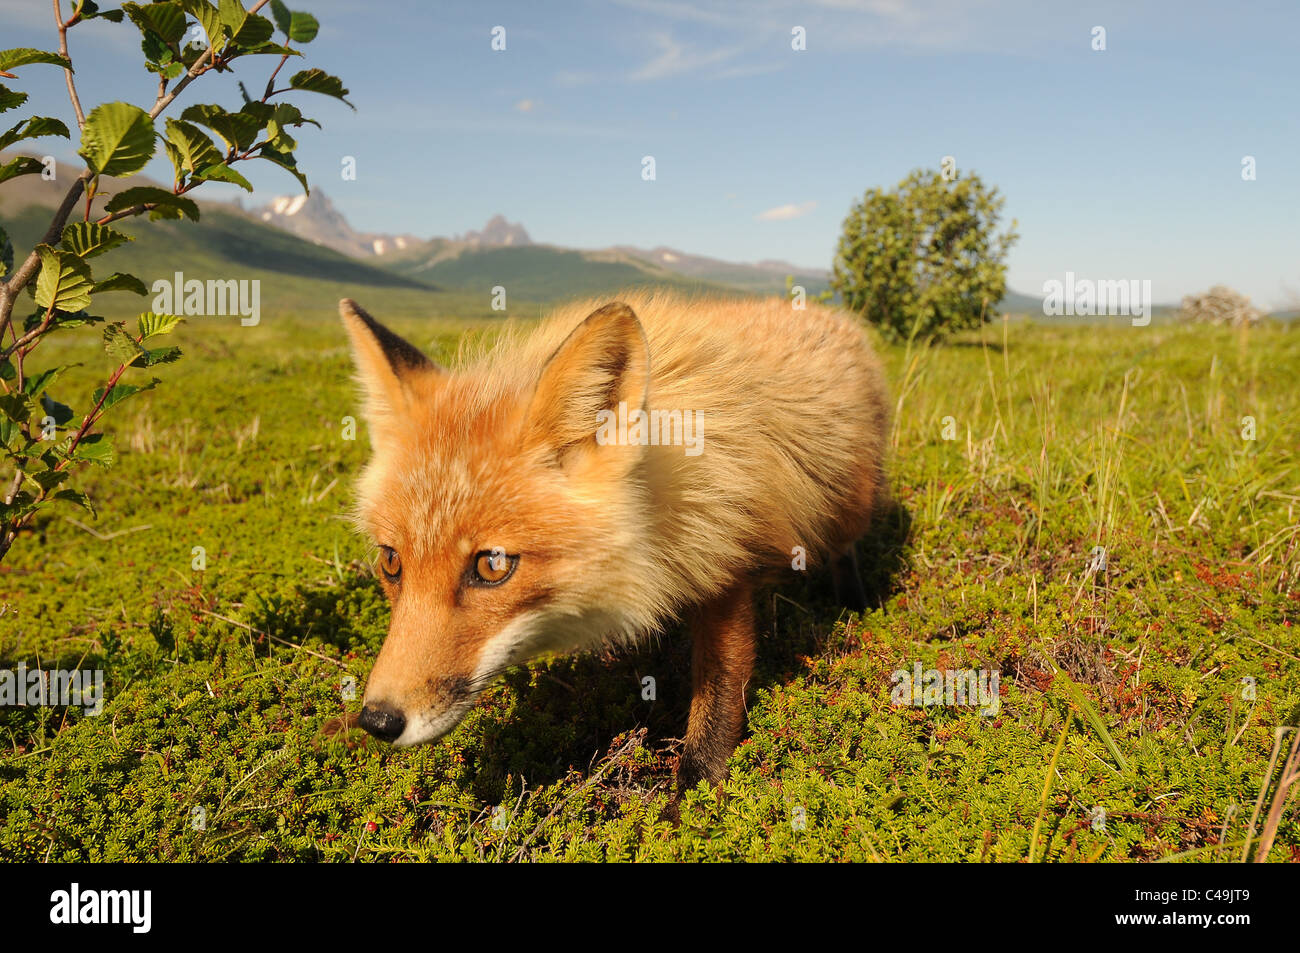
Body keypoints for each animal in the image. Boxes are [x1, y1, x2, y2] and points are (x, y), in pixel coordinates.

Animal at [343, 288, 894, 790]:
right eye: (390, 562)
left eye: (491, 566)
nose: (379, 720)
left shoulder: (723, 558)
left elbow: (715, 709)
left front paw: (690, 809)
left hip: (848, 504)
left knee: (845, 547)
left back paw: (856, 602)